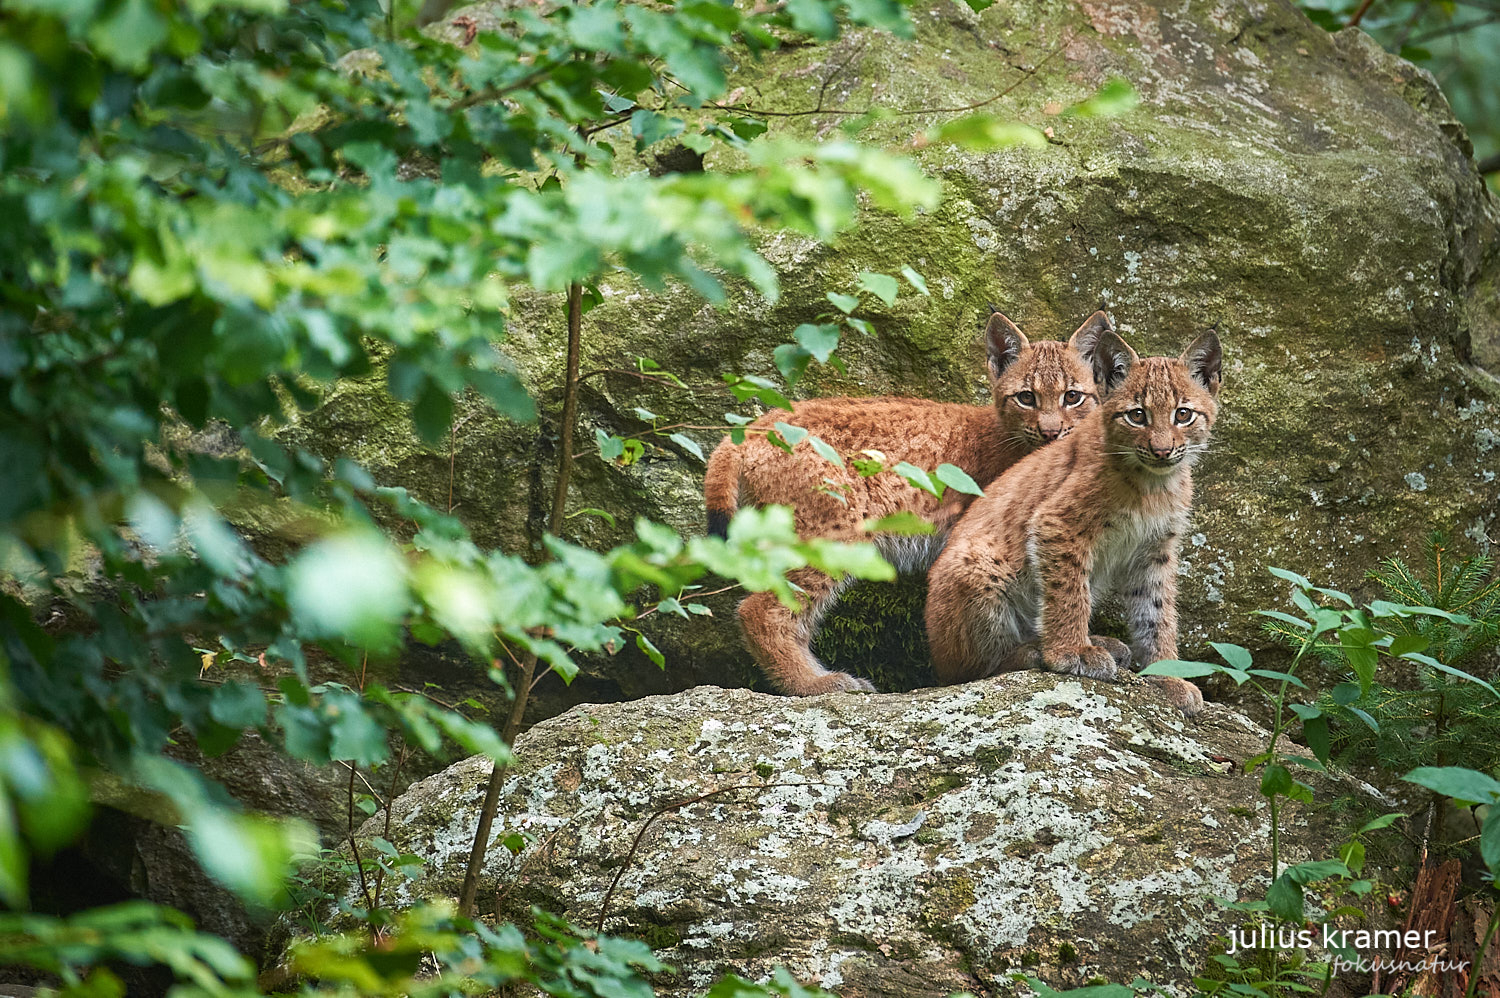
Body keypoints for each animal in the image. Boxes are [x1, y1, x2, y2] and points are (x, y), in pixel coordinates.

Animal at [708, 309, 1122, 693]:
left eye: (1072, 397)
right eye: (1026, 398)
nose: (1051, 433)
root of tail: (756, 426)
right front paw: (1065, 649)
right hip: (834, 528)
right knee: (760, 609)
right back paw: (813, 684)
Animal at [924, 330, 1218, 711]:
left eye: (1183, 415)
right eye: (1137, 416)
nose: (1162, 450)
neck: (1155, 483)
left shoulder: (1156, 548)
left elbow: (1158, 611)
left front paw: (1167, 674)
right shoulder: (1057, 524)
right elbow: (1069, 593)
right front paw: (1071, 652)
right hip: (978, 565)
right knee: (965, 674)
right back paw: (1035, 650)